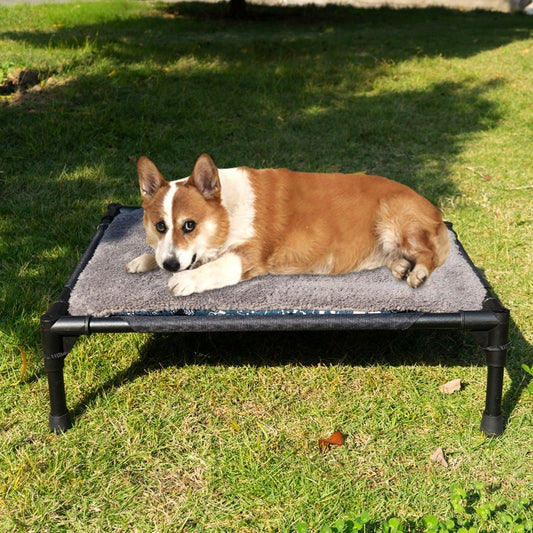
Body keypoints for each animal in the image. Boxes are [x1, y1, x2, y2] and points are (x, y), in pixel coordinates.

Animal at [124, 153, 448, 296]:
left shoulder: (247, 257)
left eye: (189, 225)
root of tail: (433, 208)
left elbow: (213, 267)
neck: (227, 210)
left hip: (392, 217)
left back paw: (417, 272)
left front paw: (184, 280)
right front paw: (143, 261)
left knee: (428, 254)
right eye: (160, 226)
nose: (171, 266)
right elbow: (157, 254)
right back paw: (400, 267)